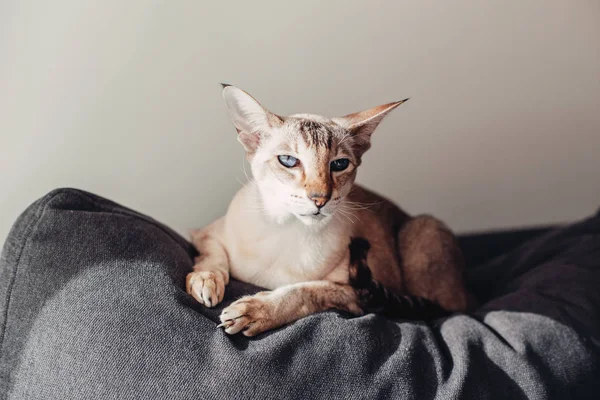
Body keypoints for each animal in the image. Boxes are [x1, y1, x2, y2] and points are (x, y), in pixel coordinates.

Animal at [185, 85, 476, 338]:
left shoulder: (356, 293)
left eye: (339, 164)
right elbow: (212, 257)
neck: (289, 228)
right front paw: (205, 282)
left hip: (425, 228)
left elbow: (302, 292)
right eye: (288, 161)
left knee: (444, 308)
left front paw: (255, 310)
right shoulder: (204, 233)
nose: (319, 199)